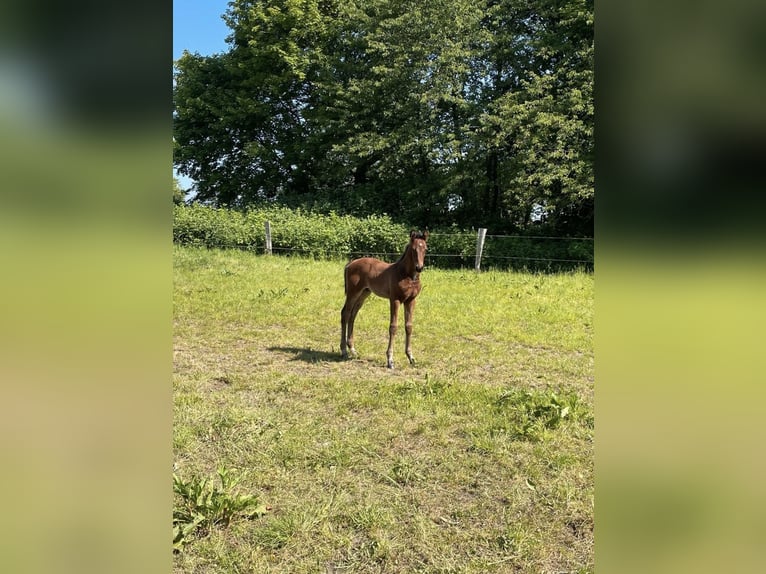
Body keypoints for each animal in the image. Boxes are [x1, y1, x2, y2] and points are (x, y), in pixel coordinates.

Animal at [344, 232, 432, 372]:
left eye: (425, 249)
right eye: (413, 249)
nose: (419, 267)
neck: (407, 275)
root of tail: (350, 263)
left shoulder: (411, 301)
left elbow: (409, 326)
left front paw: (411, 358)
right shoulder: (394, 300)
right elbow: (393, 327)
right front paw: (390, 360)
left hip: (364, 293)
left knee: (353, 315)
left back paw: (353, 350)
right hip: (353, 293)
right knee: (345, 314)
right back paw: (343, 351)